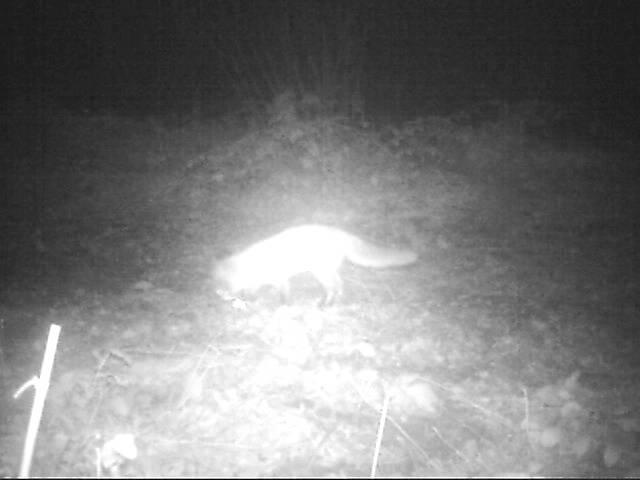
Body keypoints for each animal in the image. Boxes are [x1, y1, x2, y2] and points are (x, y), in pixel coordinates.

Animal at [212, 224, 418, 306]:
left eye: (224, 283)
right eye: (218, 282)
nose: (219, 295)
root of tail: (340, 233)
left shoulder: (280, 279)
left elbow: (284, 296)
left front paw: (283, 307)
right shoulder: (260, 281)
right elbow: (253, 292)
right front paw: (250, 300)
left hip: (321, 272)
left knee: (333, 288)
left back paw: (326, 305)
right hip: (327, 271)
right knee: (340, 285)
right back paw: (333, 302)